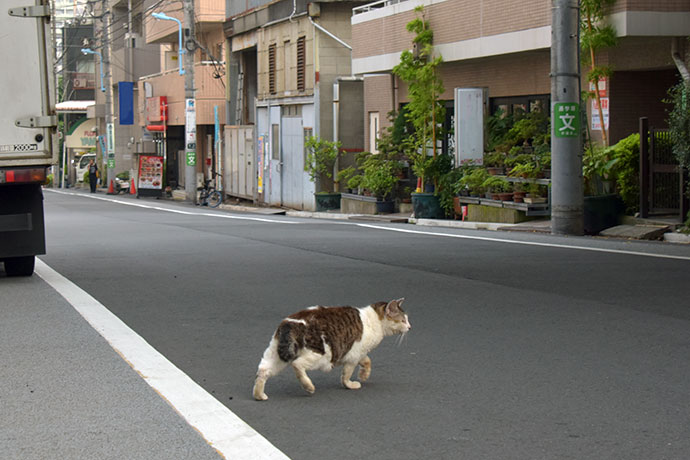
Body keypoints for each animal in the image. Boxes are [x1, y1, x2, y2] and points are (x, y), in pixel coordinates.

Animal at [251, 298, 408, 398]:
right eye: (403, 320)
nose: (410, 327)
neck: (374, 319)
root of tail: (289, 324)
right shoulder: (353, 356)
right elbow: (346, 375)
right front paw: (351, 384)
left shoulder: (357, 353)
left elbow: (367, 361)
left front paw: (364, 375)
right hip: (320, 354)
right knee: (297, 364)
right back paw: (308, 386)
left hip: (276, 354)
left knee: (262, 371)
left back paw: (259, 395)